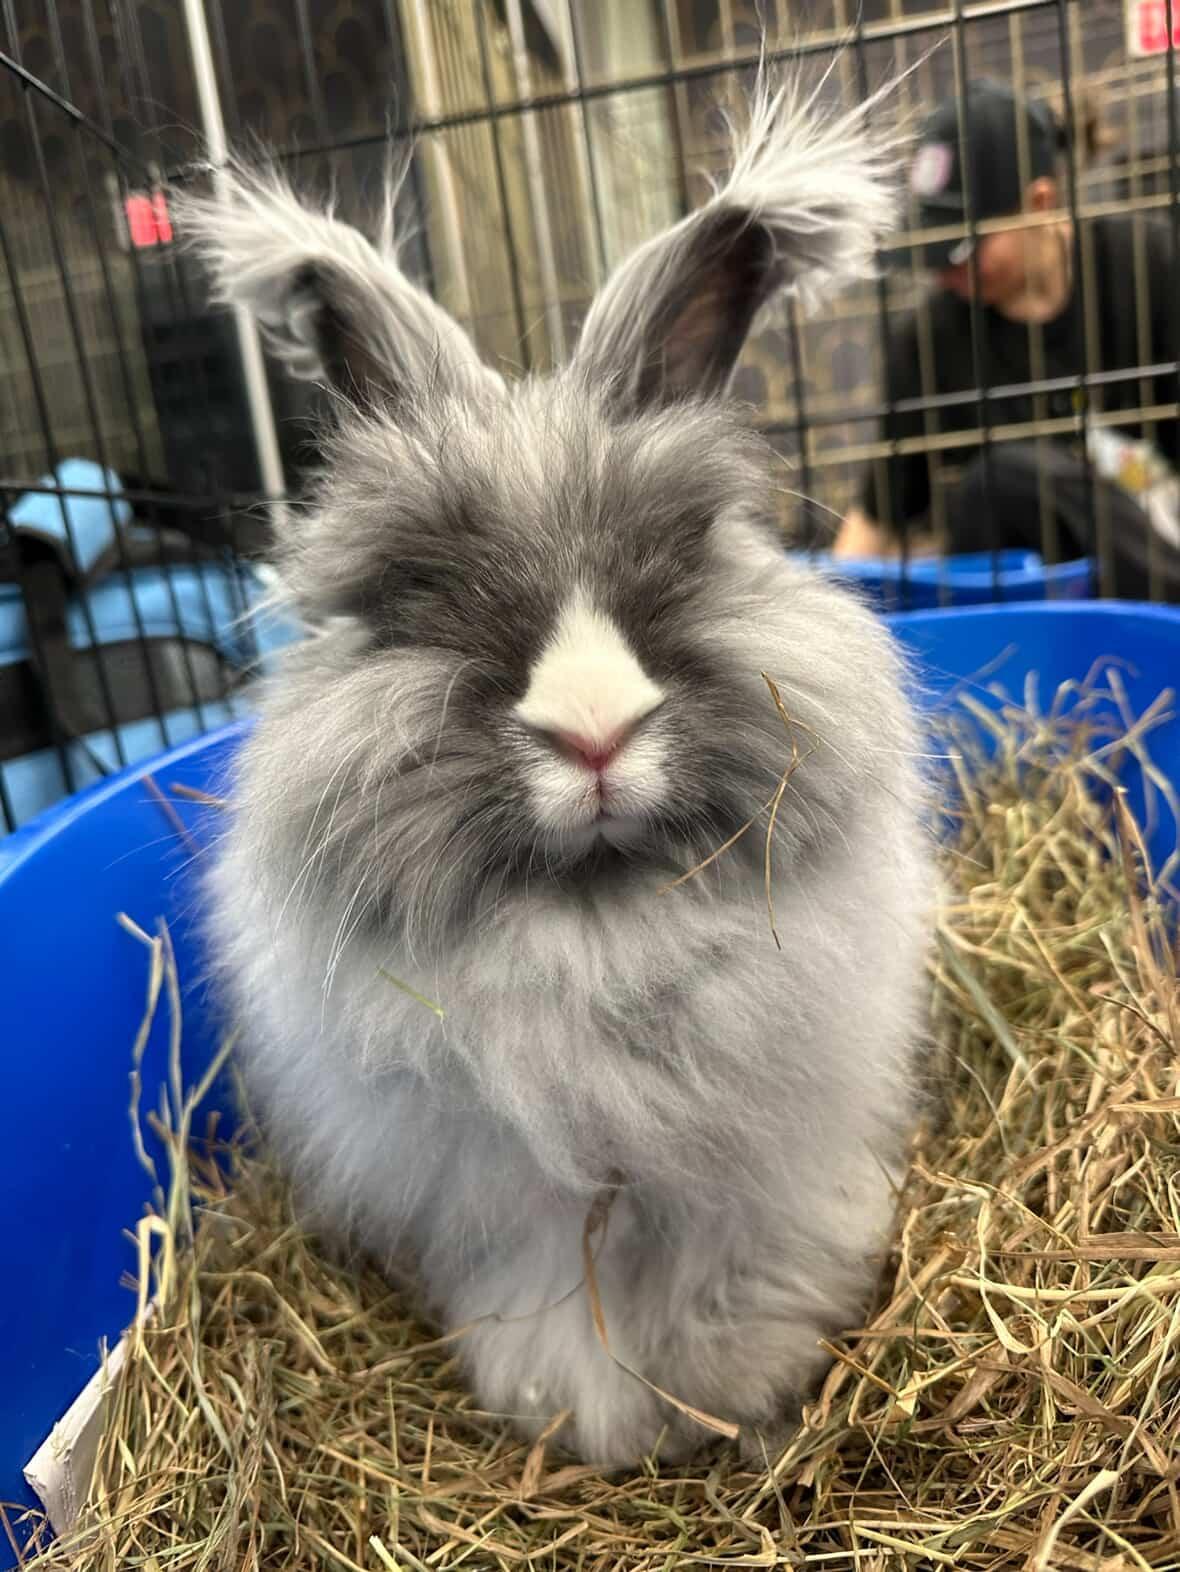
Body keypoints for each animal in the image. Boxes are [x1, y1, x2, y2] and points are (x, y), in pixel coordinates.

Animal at [180, 75, 935, 1467]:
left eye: (681, 553)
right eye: (418, 590)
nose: (592, 732)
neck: (597, 923)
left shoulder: (757, 1173)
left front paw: (734, 1381)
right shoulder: (509, 1209)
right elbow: (554, 1305)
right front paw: (575, 1411)